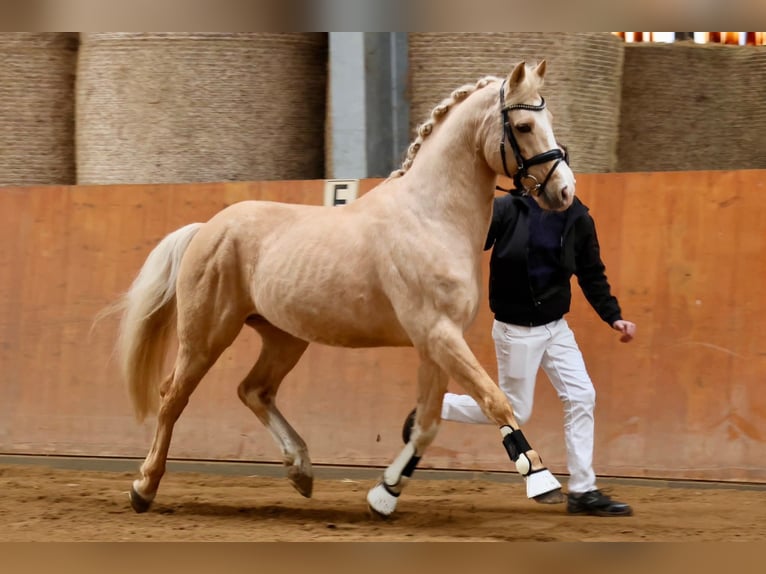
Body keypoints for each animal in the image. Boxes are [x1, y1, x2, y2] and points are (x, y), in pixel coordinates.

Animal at [109, 60, 576, 518]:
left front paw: (384, 495)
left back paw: (301, 470)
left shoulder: (436, 344)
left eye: (550, 119)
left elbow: (426, 426)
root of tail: (207, 228)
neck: (430, 217)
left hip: (284, 337)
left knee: (254, 390)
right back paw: (143, 488)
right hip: (206, 336)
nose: (564, 191)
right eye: (523, 126)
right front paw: (541, 478)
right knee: (173, 396)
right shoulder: (439, 334)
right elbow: (495, 400)